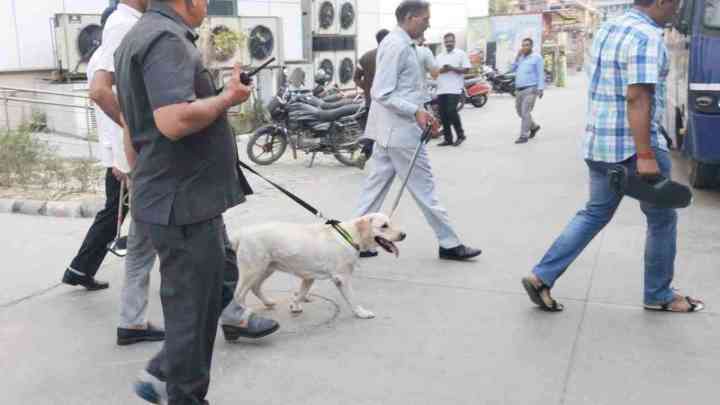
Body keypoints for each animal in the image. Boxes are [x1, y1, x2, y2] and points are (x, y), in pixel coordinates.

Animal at [231, 213, 404, 318]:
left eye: (391, 223)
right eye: (384, 226)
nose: (404, 235)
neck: (349, 236)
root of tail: (242, 233)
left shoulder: (308, 277)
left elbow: (301, 293)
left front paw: (295, 306)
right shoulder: (342, 278)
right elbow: (352, 298)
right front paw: (361, 312)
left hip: (267, 268)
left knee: (255, 288)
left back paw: (268, 302)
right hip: (252, 270)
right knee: (238, 295)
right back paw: (244, 311)